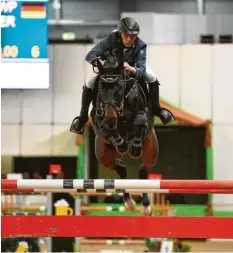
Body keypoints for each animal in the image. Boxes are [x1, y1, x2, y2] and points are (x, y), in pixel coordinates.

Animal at [89, 56, 160, 216]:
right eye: (101, 87)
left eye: (119, 87)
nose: (110, 117)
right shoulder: (102, 122)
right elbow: (108, 129)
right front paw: (121, 144)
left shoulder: (142, 115)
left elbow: (139, 122)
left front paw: (134, 148)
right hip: (104, 156)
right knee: (121, 169)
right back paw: (128, 201)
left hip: (151, 151)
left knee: (143, 171)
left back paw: (145, 206)